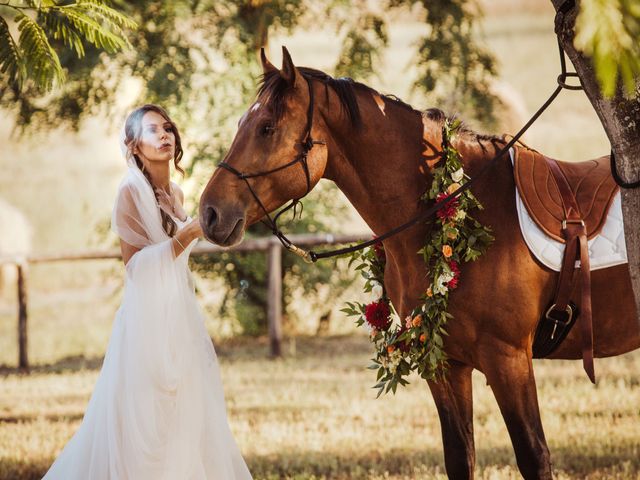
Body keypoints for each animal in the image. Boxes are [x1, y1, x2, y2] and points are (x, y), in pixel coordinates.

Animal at [200, 47, 640, 478]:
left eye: (267, 127)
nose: (210, 213)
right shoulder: (445, 364)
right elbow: (460, 456)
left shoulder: (509, 360)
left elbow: (534, 456)